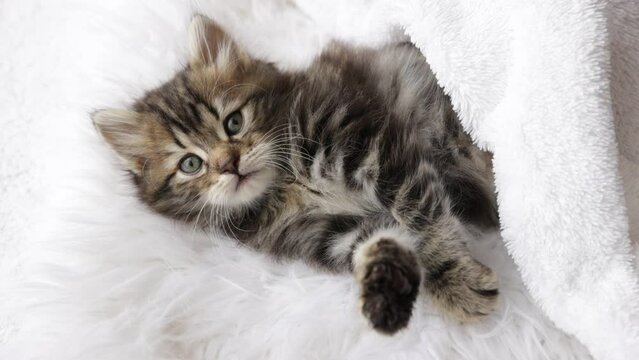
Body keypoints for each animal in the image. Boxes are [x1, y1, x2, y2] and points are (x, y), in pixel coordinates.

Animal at [94, 14, 500, 334]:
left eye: (234, 122)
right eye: (190, 164)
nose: (229, 164)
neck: (285, 184)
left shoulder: (370, 145)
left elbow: (421, 215)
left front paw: (455, 280)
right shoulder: (319, 233)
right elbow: (379, 242)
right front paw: (389, 290)